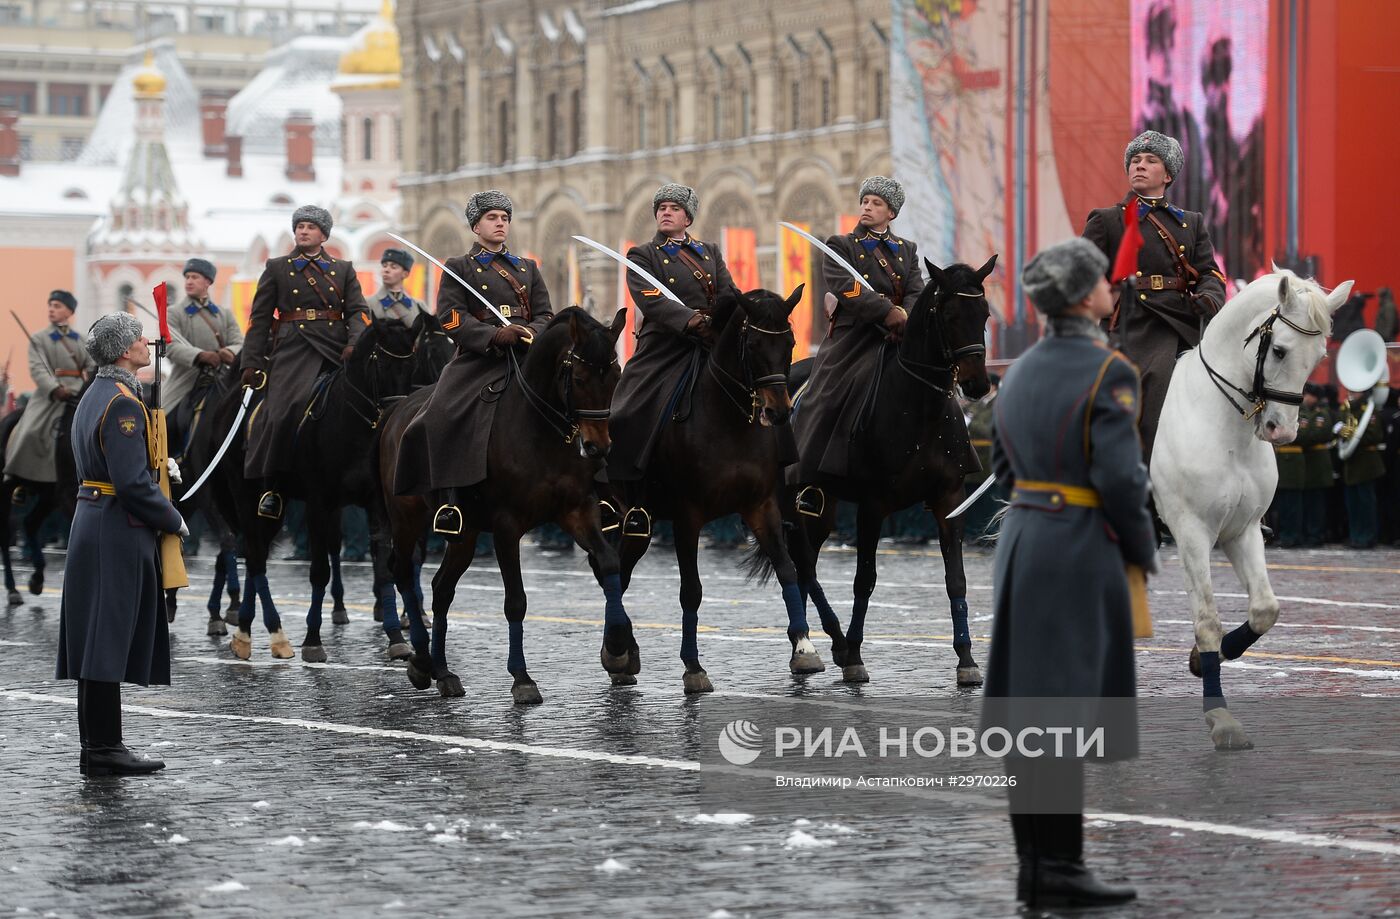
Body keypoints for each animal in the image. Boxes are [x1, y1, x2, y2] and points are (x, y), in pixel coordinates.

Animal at [378, 308, 630, 703]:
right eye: (579, 377)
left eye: (616, 376)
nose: (598, 447)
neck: (541, 431)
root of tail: (398, 409)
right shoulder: (507, 526)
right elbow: (516, 600)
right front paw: (522, 678)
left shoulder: (577, 511)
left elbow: (608, 563)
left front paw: (618, 651)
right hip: (407, 518)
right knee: (403, 571)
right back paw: (419, 659)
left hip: (464, 533)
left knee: (441, 589)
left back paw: (443, 671)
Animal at [616, 282, 817, 692]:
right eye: (753, 344)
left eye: (789, 342)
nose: (778, 412)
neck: (729, 422)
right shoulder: (687, 517)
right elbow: (691, 591)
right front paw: (693, 666)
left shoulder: (762, 507)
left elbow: (787, 569)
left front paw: (804, 646)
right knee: (616, 575)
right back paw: (617, 652)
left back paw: (622, 652)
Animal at [761, 254, 1002, 686]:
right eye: (950, 314)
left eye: (986, 313)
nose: (977, 385)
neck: (918, 409)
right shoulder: (872, 505)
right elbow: (865, 580)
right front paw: (856, 654)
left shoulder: (950, 499)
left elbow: (955, 578)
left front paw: (966, 659)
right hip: (786, 498)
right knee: (800, 562)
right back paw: (825, 643)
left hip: (822, 506)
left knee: (806, 563)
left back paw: (808, 644)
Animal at [1153, 263, 1349, 745]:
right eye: (1278, 350)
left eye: (1319, 356)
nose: (1282, 430)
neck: (1223, 426)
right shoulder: (1191, 534)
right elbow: (1207, 618)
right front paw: (1220, 717)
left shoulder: (1242, 531)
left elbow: (1265, 609)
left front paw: (1204, 658)